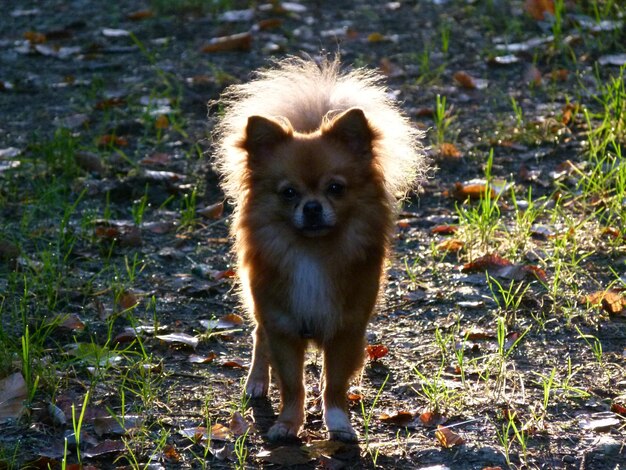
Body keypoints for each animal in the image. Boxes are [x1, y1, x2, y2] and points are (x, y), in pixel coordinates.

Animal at [213, 57, 424, 442]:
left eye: (336, 188)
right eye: (288, 193)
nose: (312, 207)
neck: (312, 254)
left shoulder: (346, 330)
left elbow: (335, 384)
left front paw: (338, 423)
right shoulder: (283, 326)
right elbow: (292, 385)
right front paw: (287, 424)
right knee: (258, 335)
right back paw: (256, 381)